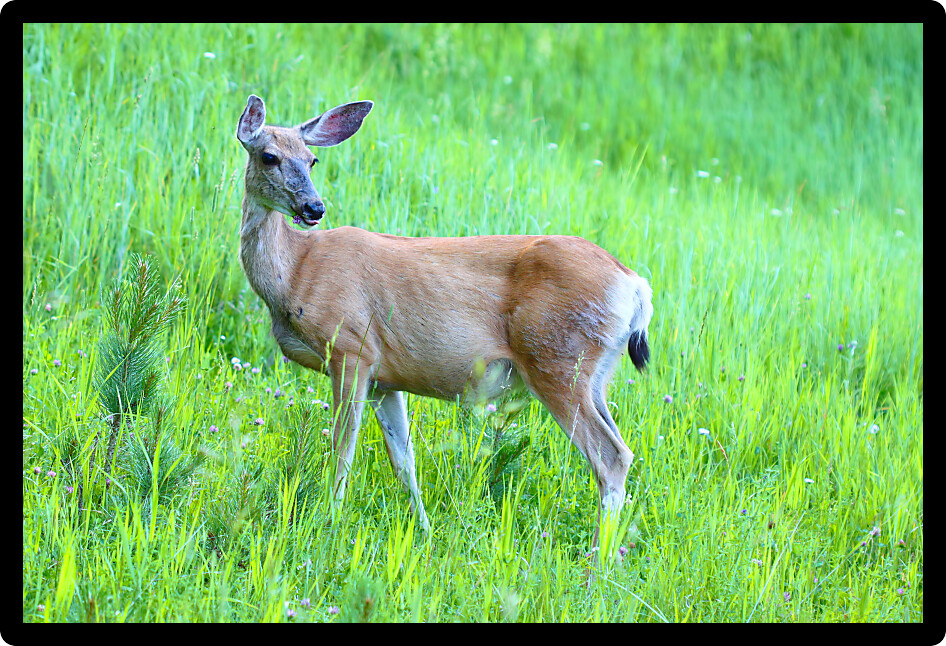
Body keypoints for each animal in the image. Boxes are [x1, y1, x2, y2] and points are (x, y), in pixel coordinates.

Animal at [235, 94, 653, 547]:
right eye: (270, 156)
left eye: (312, 160)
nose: (314, 208)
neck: (296, 271)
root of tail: (635, 287)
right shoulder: (384, 377)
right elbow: (404, 461)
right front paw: (424, 531)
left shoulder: (350, 348)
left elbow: (342, 452)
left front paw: (328, 521)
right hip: (594, 374)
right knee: (621, 449)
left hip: (556, 360)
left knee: (611, 457)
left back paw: (597, 559)